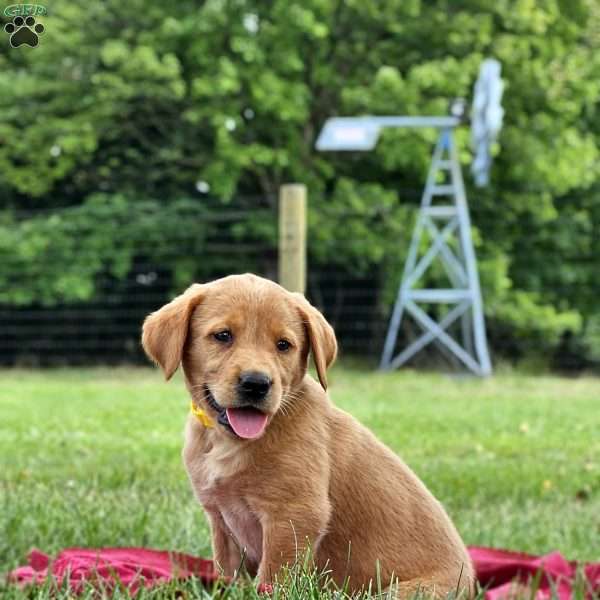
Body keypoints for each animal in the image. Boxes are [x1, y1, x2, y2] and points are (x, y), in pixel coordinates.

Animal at [141, 274, 474, 596]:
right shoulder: (221, 520)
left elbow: (273, 579)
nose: (256, 383)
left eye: (283, 344)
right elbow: (226, 574)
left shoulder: (294, 515)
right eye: (223, 335)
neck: (230, 443)